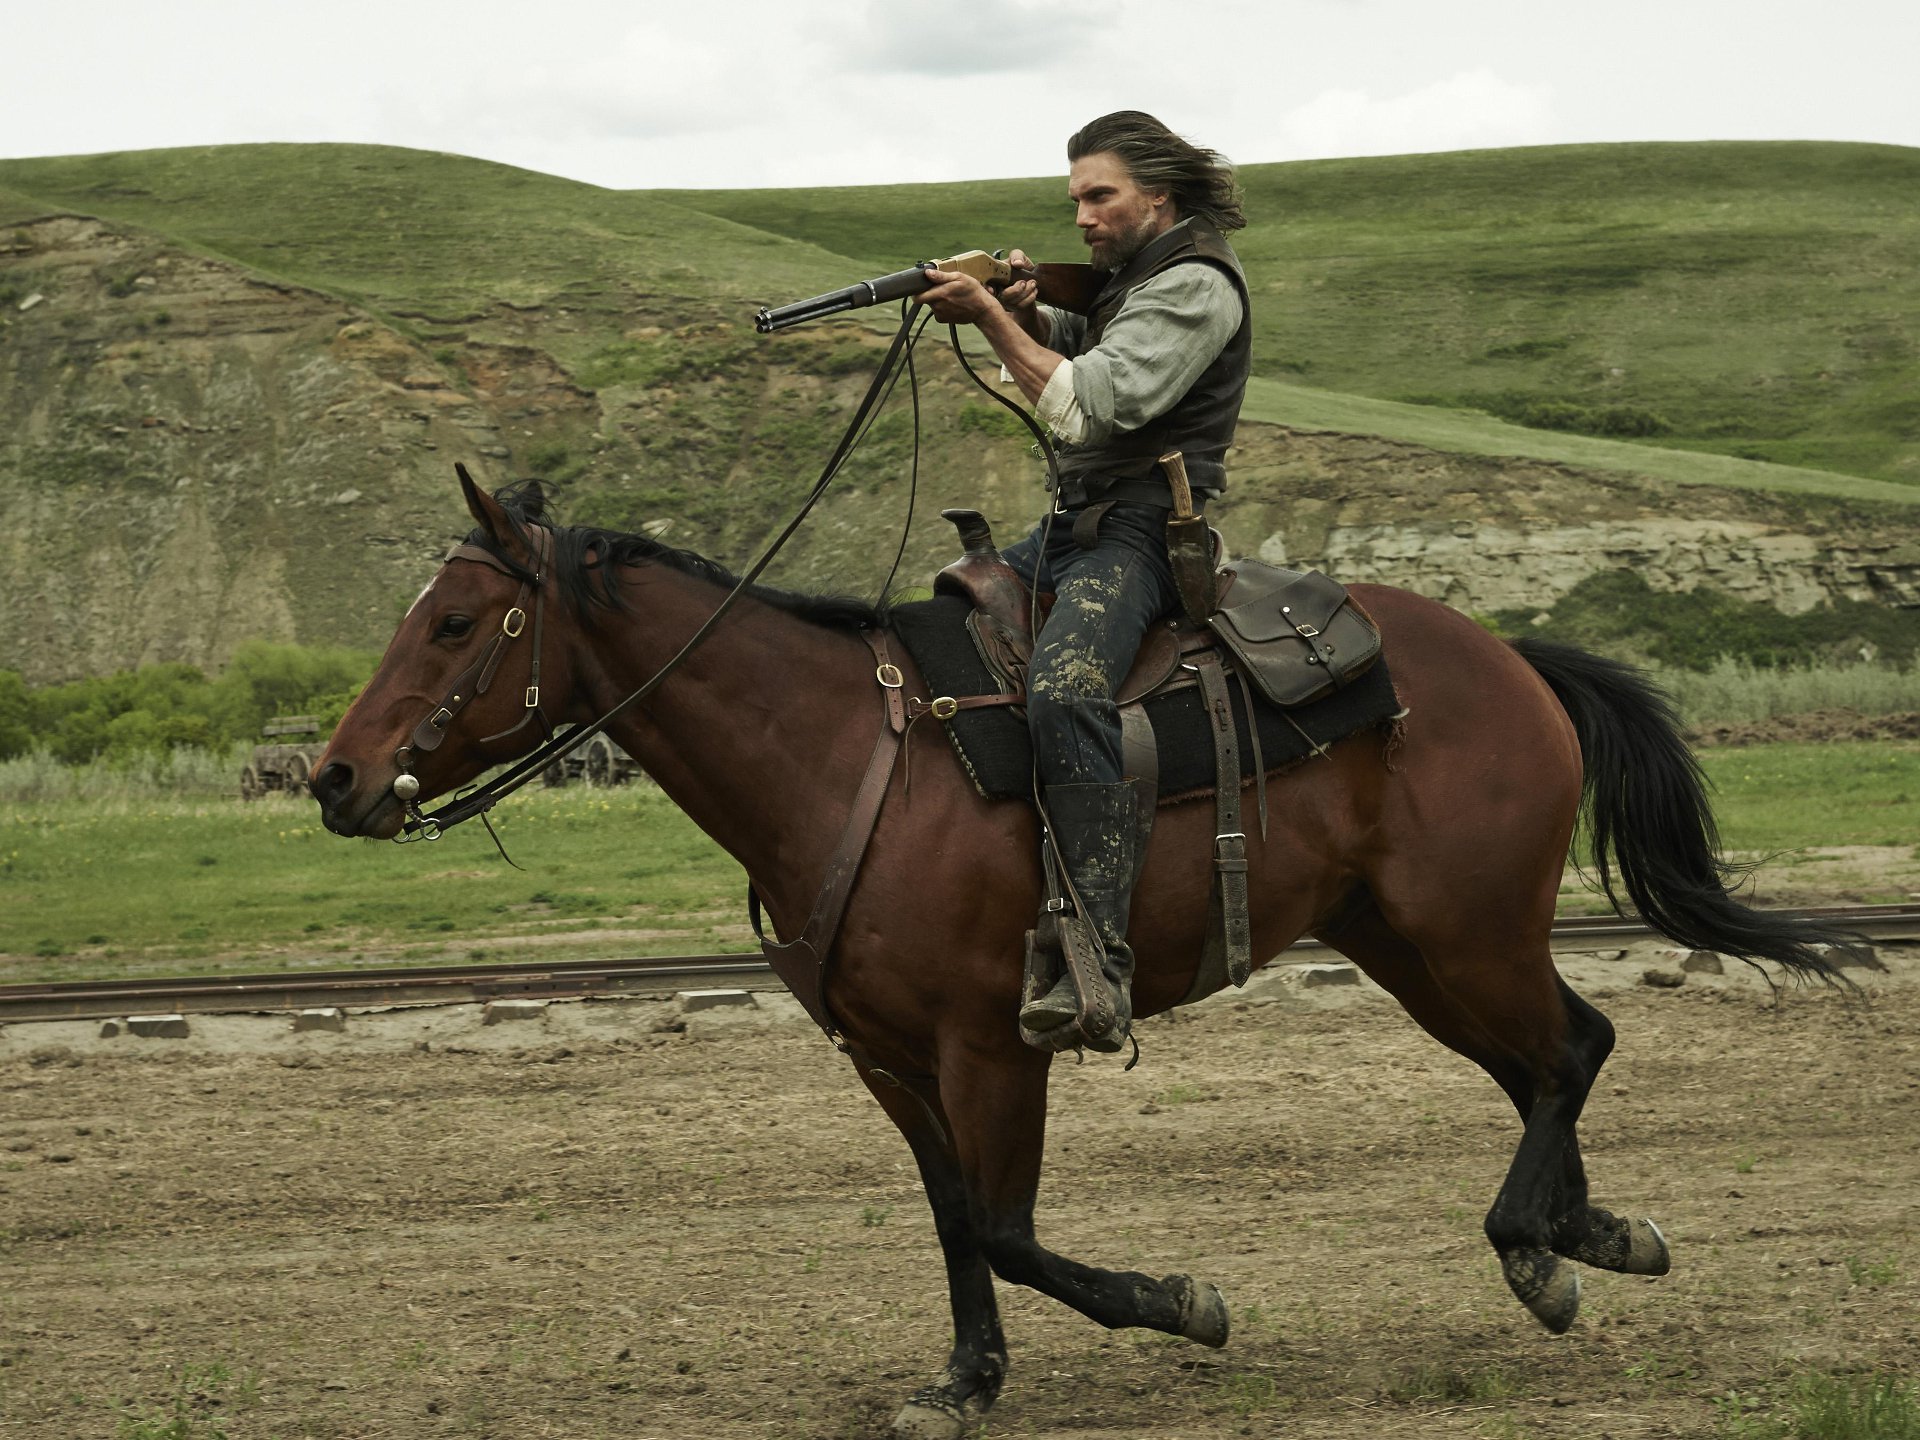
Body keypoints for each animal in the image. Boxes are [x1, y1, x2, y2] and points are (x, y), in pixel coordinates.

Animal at [311, 473, 1848, 1440]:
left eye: (456, 622)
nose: (334, 778)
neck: (847, 757)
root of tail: (1512, 658)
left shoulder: (997, 1044)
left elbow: (1007, 1225)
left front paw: (1185, 1305)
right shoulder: (888, 1061)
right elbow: (953, 1221)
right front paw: (964, 1381)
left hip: (1465, 935)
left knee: (1573, 1049)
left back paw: (1538, 1249)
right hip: (1409, 946)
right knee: (1546, 1063)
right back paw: (1587, 1237)